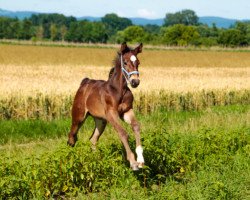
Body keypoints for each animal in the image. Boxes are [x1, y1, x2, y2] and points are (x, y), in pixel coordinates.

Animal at [67, 42, 145, 170]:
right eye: (125, 62)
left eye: (138, 62)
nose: (135, 82)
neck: (119, 90)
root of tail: (85, 82)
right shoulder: (111, 113)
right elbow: (123, 133)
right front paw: (133, 162)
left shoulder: (127, 111)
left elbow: (136, 126)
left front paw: (140, 160)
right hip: (79, 116)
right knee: (72, 136)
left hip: (100, 121)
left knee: (93, 139)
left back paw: (97, 161)